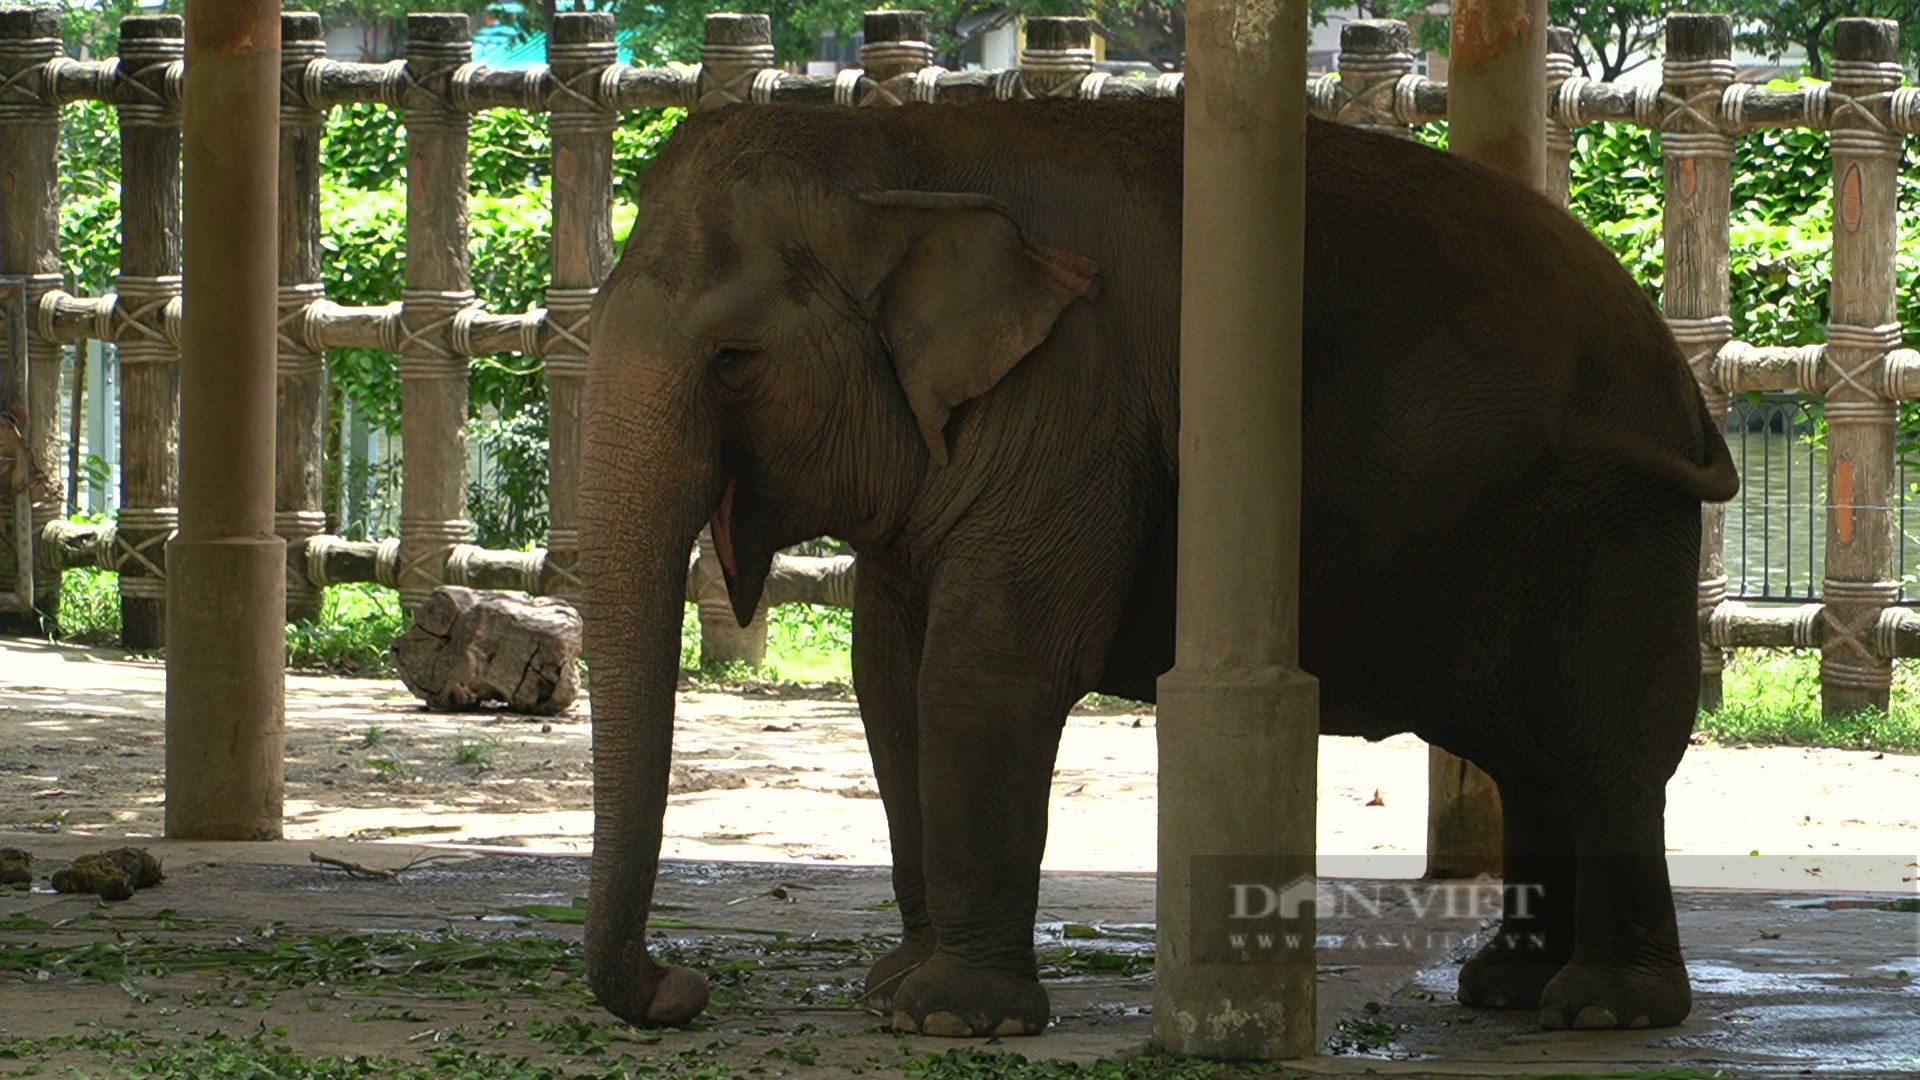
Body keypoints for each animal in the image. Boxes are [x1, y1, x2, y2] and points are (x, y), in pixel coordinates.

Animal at [576, 96, 1735, 1037]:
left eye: (733, 360)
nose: (681, 990)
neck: (905, 148)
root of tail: (1679, 374)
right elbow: (889, 680)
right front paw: (891, 990)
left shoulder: (1073, 404)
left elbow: (984, 671)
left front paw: (948, 1018)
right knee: (1530, 754)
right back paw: (1506, 989)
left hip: (1618, 518)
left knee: (1605, 746)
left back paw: (1604, 1010)